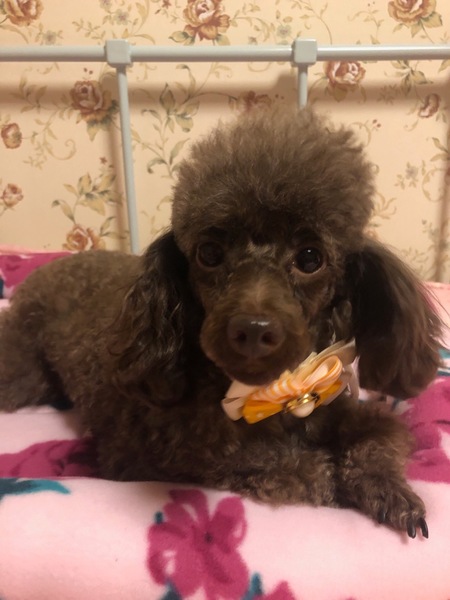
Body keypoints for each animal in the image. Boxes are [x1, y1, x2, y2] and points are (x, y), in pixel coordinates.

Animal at [0, 106, 441, 538]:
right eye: (209, 253)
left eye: (310, 258)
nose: (254, 331)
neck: (272, 396)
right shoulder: (140, 455)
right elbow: (290, 468)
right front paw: (330, 478)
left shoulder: (332, 405)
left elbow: (379, 434)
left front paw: (389, 490)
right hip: (25, 372)